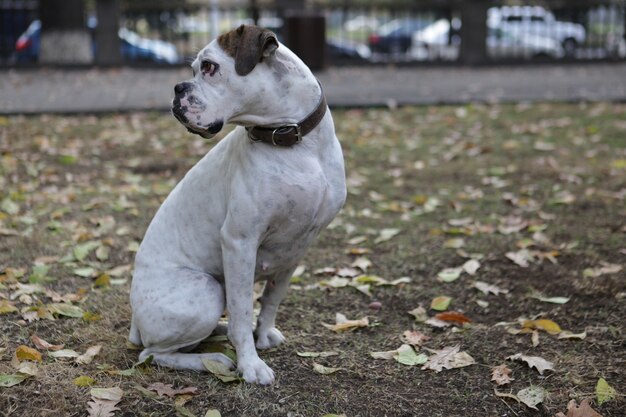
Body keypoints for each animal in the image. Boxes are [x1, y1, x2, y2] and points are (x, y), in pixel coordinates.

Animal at [127, 25, 346, 384]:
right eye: (194, 70)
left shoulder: (297, 247)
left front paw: (264, 334)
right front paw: (250, 364)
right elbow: (244, 309)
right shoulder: (240, 242)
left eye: (208, 68)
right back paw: (213, 358)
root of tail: (135, 321)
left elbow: (271, 299)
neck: (296, 144)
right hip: (206, 290)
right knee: (154, 354)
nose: (177, 88)